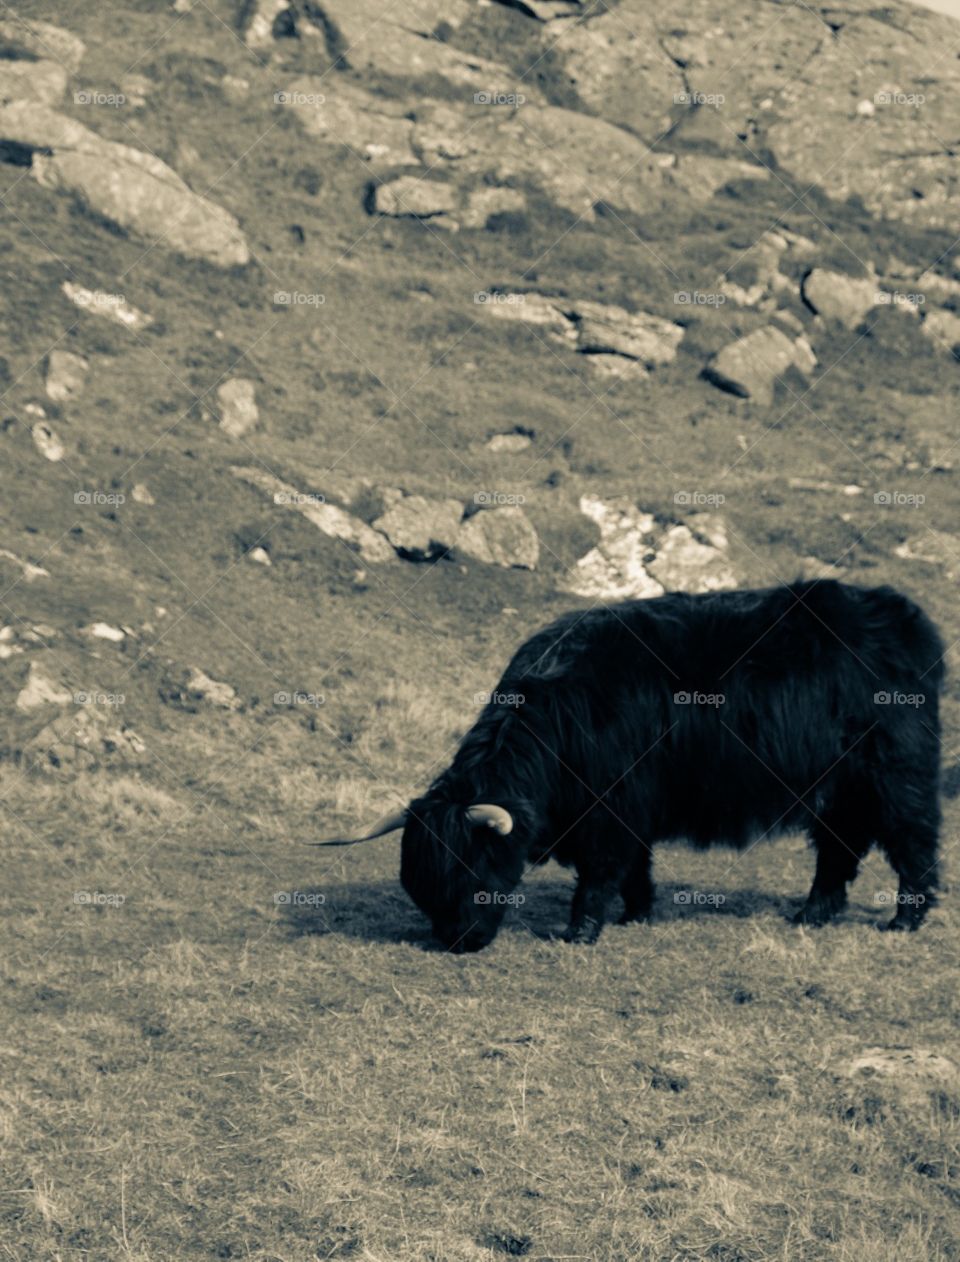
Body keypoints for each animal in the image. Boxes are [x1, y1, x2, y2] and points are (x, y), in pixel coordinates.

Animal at [316, 580, 945, 952]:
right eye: (421, 887)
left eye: (470, 871)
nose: (456, 941)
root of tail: (901, 614)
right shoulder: (628, 811)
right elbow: (636, 867)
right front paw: (636, 915)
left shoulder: (609, 811)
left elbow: (601, 872)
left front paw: (580, 931)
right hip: (839, 789)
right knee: (839, 848)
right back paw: (811, 915)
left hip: (894, 773)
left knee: (911, 840)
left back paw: (903, 921)